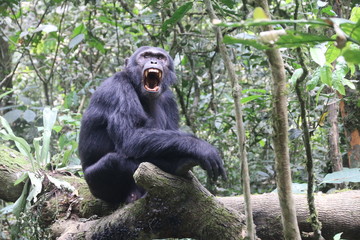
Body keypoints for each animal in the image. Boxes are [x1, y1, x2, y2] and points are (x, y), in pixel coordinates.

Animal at [78, 47, 225, 204]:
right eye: (146, 56)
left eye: (160, 57)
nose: (153, 61)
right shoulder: (117, 90)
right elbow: (131, 136)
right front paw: (202, 148)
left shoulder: (169, 100)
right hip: (96, 184)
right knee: (115, 160)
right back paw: (178, 165)